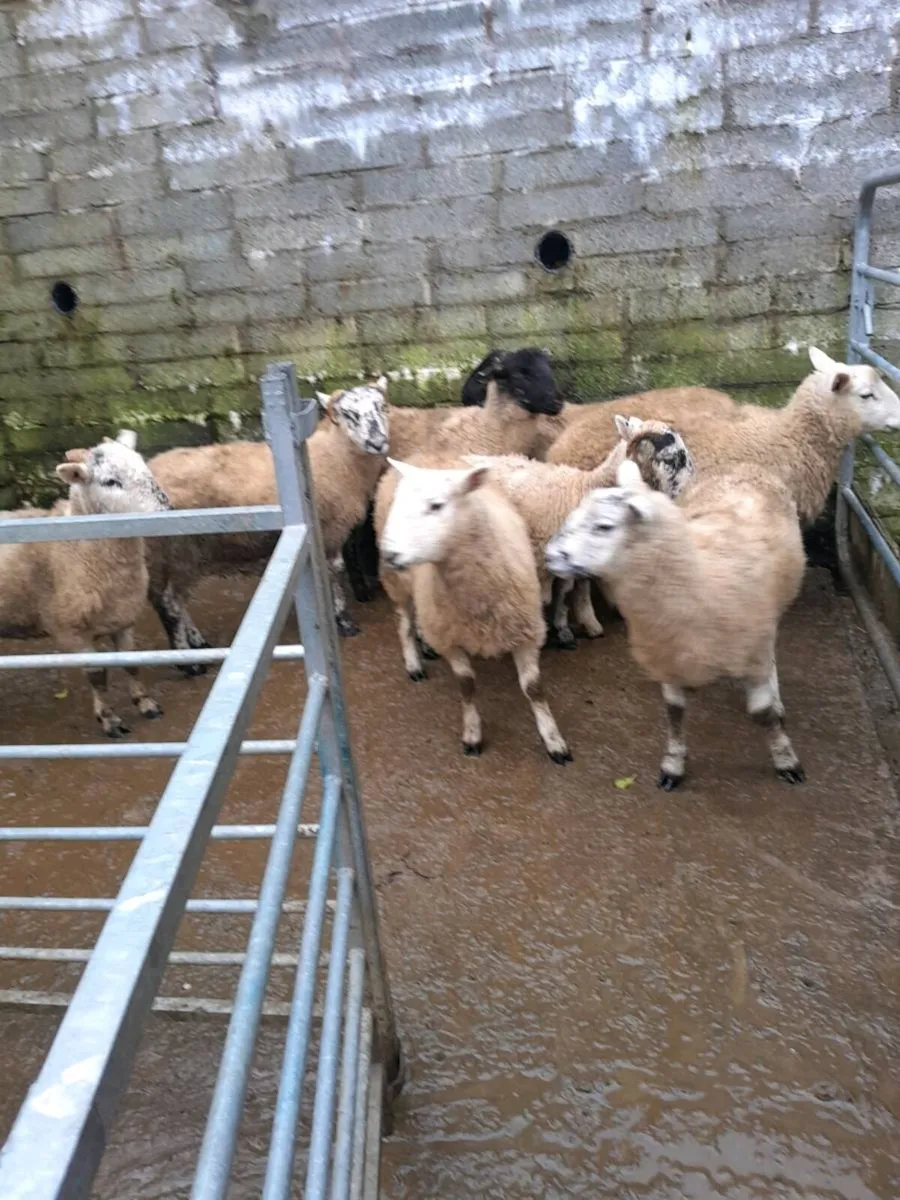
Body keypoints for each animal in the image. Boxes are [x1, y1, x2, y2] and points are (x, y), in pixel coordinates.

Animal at [0, 435, 170, 737]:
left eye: (143, 465)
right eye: (110, 481)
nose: (166, 508)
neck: (80, 549)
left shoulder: (123, 620)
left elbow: (131, 663)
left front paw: (145, 702)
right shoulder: (71, 632)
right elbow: (97, 676)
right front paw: (109, 719)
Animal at [146, 381, 390, 668]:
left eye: (382, 406)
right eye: (349, 414)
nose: (377, 443)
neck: (338, 455)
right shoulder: (332, 529)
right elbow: (336, 570)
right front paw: (344, 620)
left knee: (172, 600)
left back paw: (198, 644)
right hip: (181, 548)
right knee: (171, 602)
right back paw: (190, 662)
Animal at [379, 456, 571, 762]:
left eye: (436, 505)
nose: (389, 554)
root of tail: (424, 456)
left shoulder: (525, 631)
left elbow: (534, 689)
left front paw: (553, 739)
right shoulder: (451, 639)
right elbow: (467, 686)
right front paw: (472, 734)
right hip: (398, 584)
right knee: (405, 623)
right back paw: (413, 662)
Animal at [464, 416, 695, 647]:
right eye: (673, 458)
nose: (686, 490)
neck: (585, 487)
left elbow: (573, 588)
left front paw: (576, 625)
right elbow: (557, 592)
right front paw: (559, 628)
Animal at [546, 457, 807, 789]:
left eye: (604, 526)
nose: (549, 556)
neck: (697, 575)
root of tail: (741, 465)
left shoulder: (751, 652)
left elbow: (762, 714)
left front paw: (786, 760)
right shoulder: (666, 651)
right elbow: (674, 712)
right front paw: (673, 764)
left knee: (771, 653)